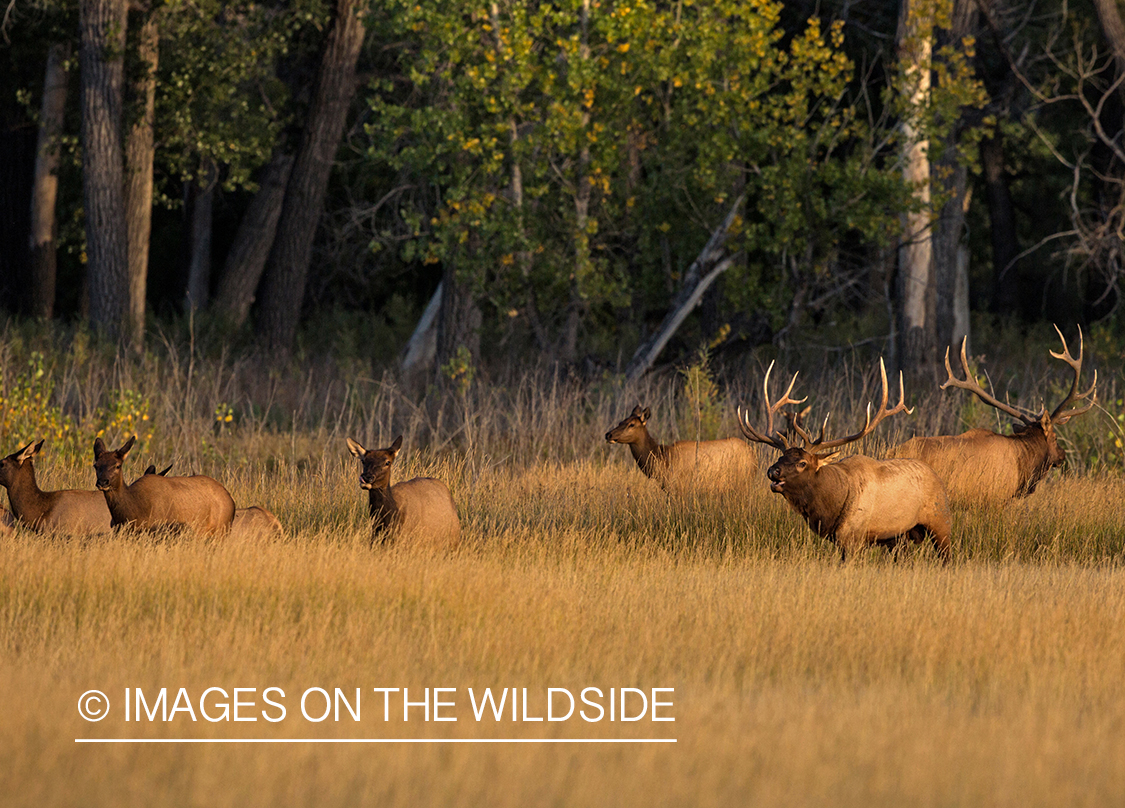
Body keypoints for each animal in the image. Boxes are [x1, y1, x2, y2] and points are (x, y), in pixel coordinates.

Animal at [603, 407, 760, 490]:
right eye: (620, 421)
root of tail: (753, 454)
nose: (608, 434)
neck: (662, 460)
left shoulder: (678, 486)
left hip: (744, 480)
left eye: (632, 425)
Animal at [738, 364, 949, 567]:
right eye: (781, 457)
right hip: (899, 536)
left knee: (946, 556)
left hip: (940, 520)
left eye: (802, 463)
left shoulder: (852, 537)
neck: (830, 507)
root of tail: (937, 477)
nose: (772, 471)